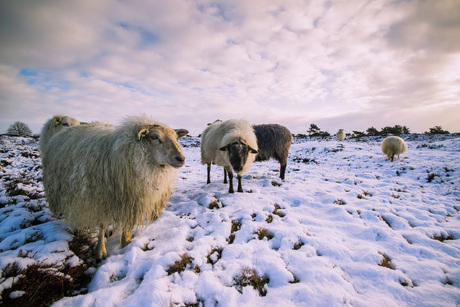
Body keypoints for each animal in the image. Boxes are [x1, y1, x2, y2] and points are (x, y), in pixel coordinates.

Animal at [41, 115, 189, 260]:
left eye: (176, 137)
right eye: (154, 137)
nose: (181, 158)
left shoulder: (131, 199)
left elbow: (127, 225)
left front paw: (126, 242)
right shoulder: (100, 198)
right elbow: (101, 224)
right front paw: (101, 251)